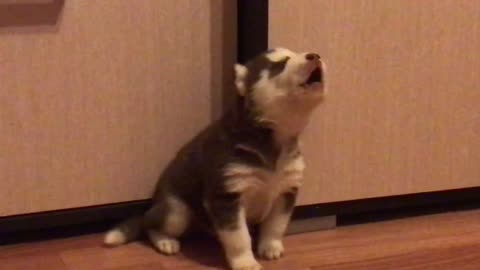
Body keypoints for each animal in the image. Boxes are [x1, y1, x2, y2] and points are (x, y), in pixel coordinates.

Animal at [105, 48, 326, 270]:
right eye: (280, 63)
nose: (315, 55)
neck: (274, 138)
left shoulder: (287, 190)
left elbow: (276, 225)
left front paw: (270, 247)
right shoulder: (225, 196)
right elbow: (239, 236)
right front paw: (245, 262)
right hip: (176, 212)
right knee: (150, 224)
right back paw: (165, 241)